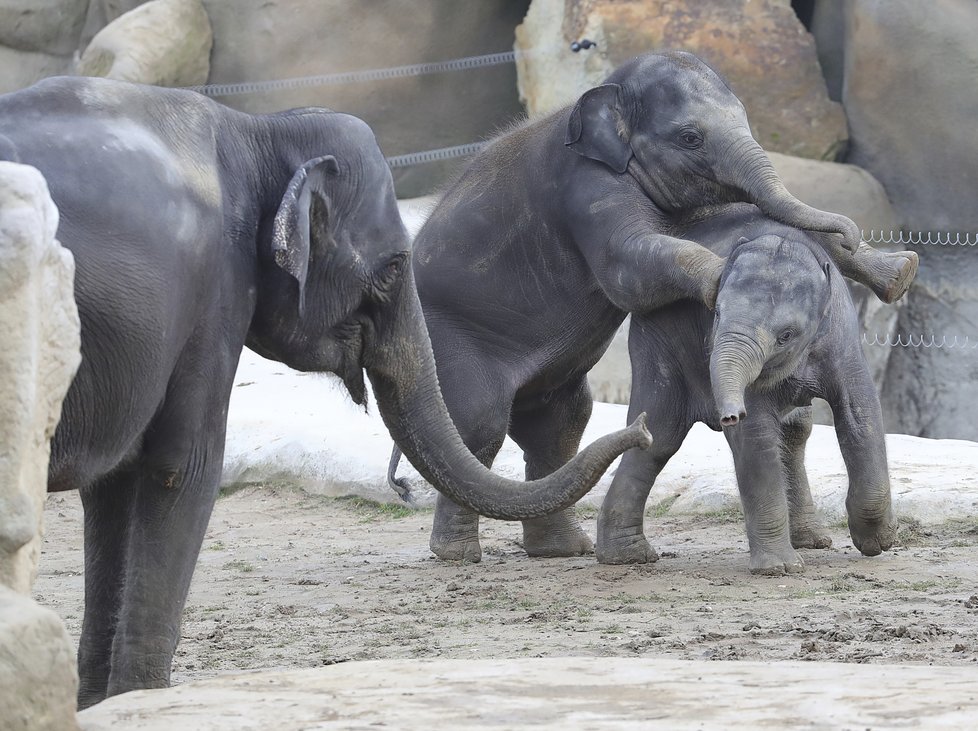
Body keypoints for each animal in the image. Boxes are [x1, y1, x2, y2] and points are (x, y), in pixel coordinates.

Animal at [1, 76, 656, 708]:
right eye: (392, 268)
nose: (642, 428)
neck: (259, 130)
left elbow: (112, 487)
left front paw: (94, 704)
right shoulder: (213, 293)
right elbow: (180, 468)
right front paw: (138, 701)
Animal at [592, 203, 896, 576]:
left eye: (786, 335)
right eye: (716, 313)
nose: (729, 415)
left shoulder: (841, 336)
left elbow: (859, 412)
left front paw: (878, 543)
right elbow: (756, 435)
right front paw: (780, 569)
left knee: (794, 431)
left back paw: (812, 541)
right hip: (657, 348)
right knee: (659, 438)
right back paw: (628, 557)